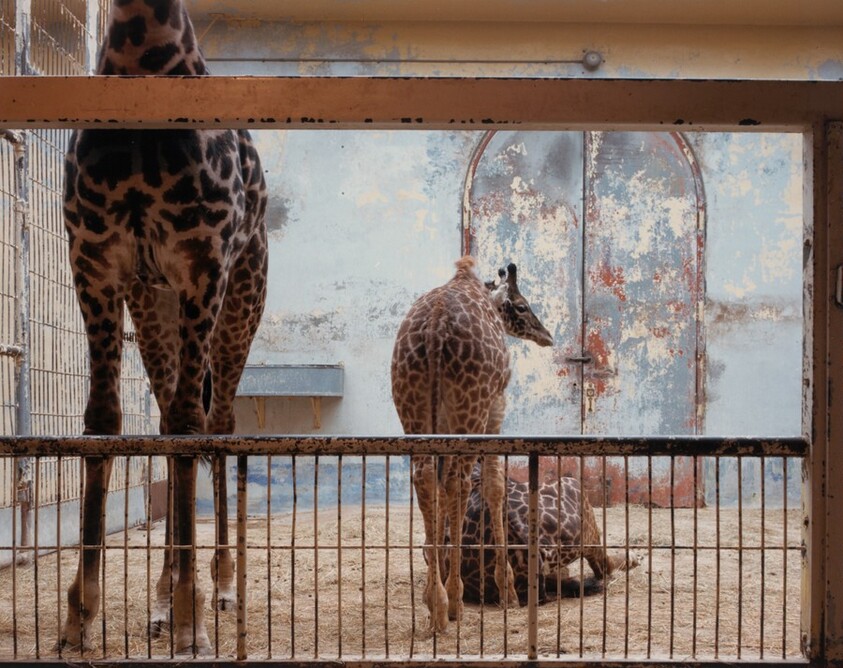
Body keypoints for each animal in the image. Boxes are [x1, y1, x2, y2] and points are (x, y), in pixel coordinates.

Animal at [61, 0, 267, 654]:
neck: (141, 58)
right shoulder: (97, 264)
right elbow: (104, 422)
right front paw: (81, 613)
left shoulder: (203, 265)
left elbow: (188, 425)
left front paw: (191, 616)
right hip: (155, 306)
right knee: (167, 413)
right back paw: (157, 595)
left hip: (241, 296)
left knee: (219, 424)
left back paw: (223, 585)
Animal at [391, 256, 553, 632]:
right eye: (521, 306)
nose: (547, 336)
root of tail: (435, 328)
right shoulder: (497, 407)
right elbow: (493, 482)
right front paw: (507, 589)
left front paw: (429, 588)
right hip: (472, 406)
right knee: (459, 481)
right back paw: (451, 605)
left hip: (412, 406)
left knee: (426, 479)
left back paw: (437, 602)